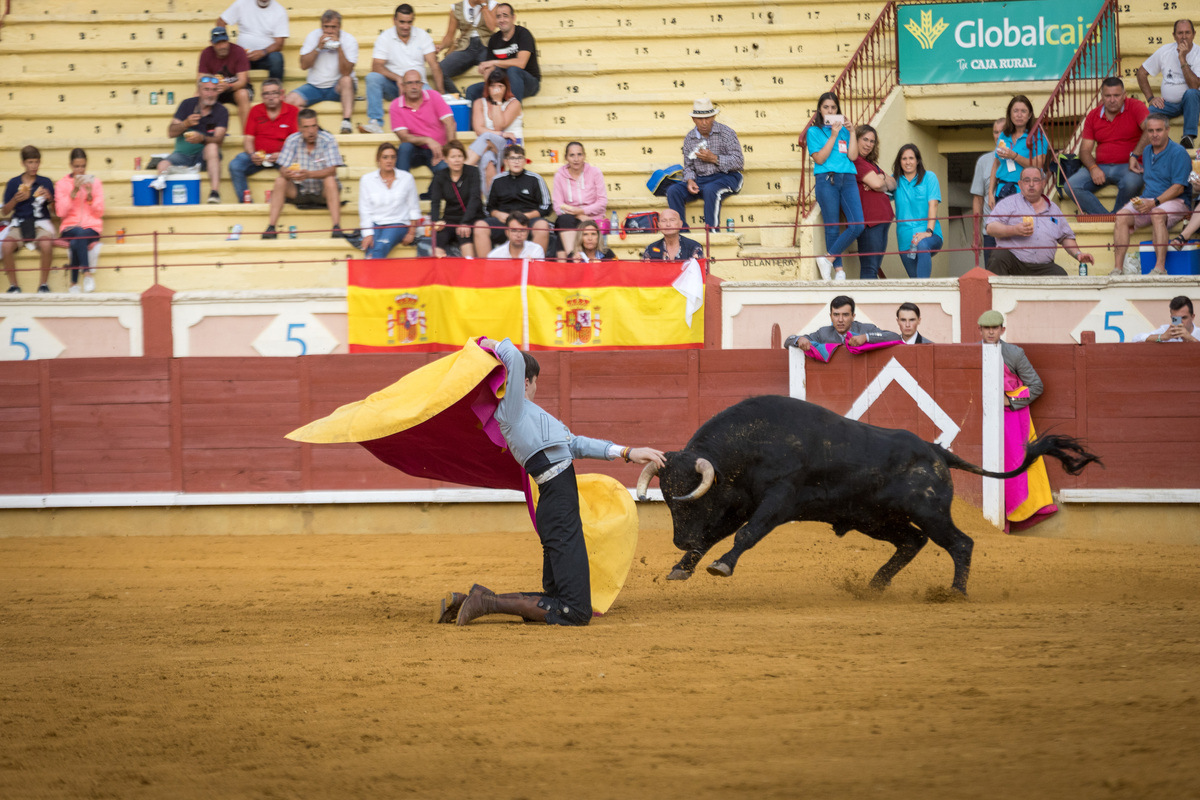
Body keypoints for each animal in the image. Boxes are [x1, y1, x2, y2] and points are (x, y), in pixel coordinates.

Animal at [643, 395, 1099, 594]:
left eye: (694, 496)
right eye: (666, 495)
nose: (678, 540)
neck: (750, 445)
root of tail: (936, 451)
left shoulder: (777, 501)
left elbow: (744, 535)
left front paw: (720, 566)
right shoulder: (742, 504)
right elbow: (714, 536)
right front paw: (682, 566)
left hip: (930, 511)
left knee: (960, 542)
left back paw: (954, 592)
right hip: (875, 518)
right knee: (912, 541)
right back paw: (875, 584)